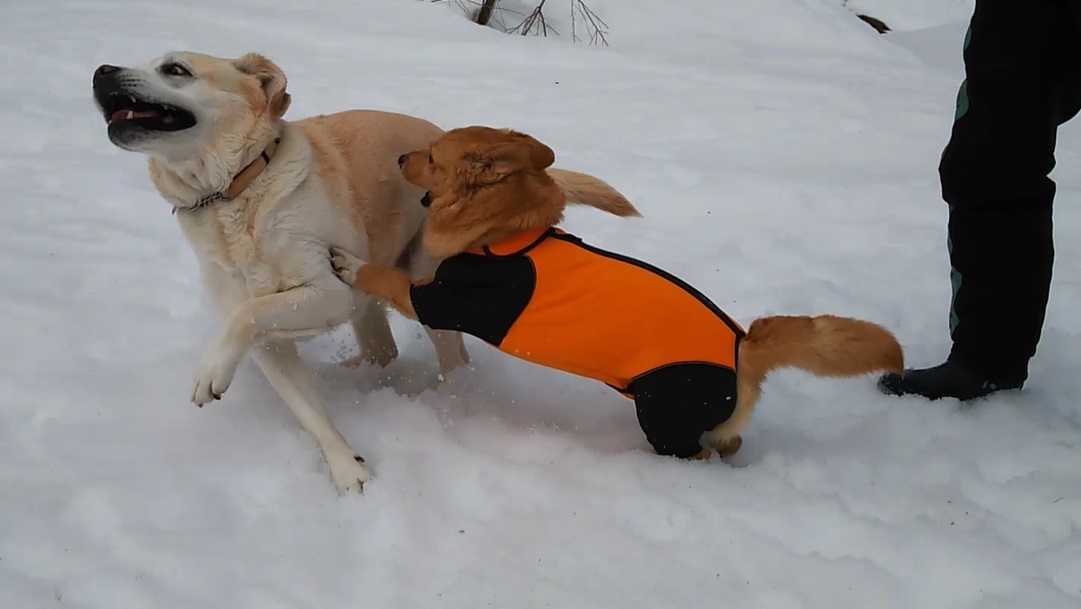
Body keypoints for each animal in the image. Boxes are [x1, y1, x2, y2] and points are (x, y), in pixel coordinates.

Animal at [96, 52, 473, 495]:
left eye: (175, 69)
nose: (101, 72)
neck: (233, 191)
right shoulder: (271, 343)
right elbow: (309, 412)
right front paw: (348, 471)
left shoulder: (329, 290)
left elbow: (246, 313)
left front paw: (210, 371)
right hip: (368, 299)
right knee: (384, 351)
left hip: (422, 287)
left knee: (454, 360)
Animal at [328, 126, 903, 460]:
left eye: (430, 156)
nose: (398, 158)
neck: (506, 235)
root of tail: (745, 348)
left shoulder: (436, 298)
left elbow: (383, 278)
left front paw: (348, 262)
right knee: (730, 439)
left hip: (665, 418)